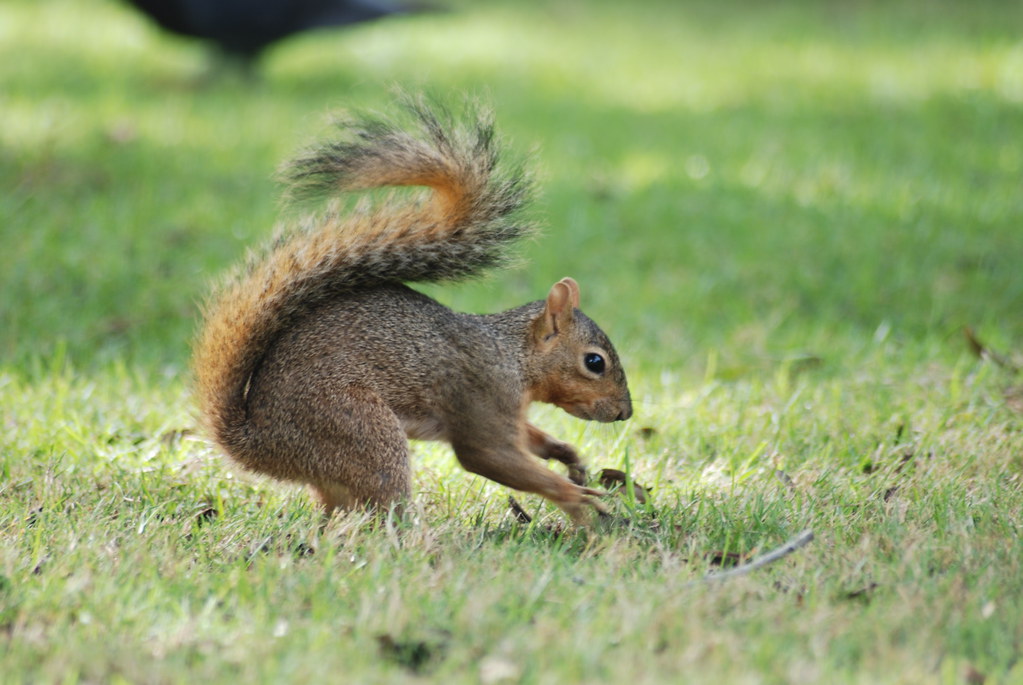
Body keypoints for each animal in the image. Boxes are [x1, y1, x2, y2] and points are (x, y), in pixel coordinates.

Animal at [193, 96, 633, 524]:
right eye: (595, 362)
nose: (625, 413)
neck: (512, 355)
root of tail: (258, 443)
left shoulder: (507, 413)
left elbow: (529, 437)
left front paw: (568, 456)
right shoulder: (482, 396)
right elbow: (487, 455)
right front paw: (577, 498)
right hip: (359, 429)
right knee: (383, 512)